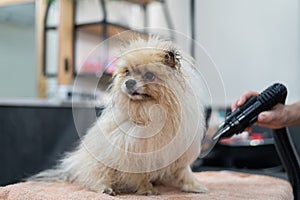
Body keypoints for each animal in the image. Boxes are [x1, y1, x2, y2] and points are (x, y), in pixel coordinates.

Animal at [31, 35, 207, 195]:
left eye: (149, 75)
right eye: (127, 72)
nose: (129, 82)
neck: (151, 113)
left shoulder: (179, 153)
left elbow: (184, 172)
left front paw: (194, 186)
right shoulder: (133, 155)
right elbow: (140, 176)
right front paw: (147, 189)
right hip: (100, 164)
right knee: (94, 178)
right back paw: (105, 188)